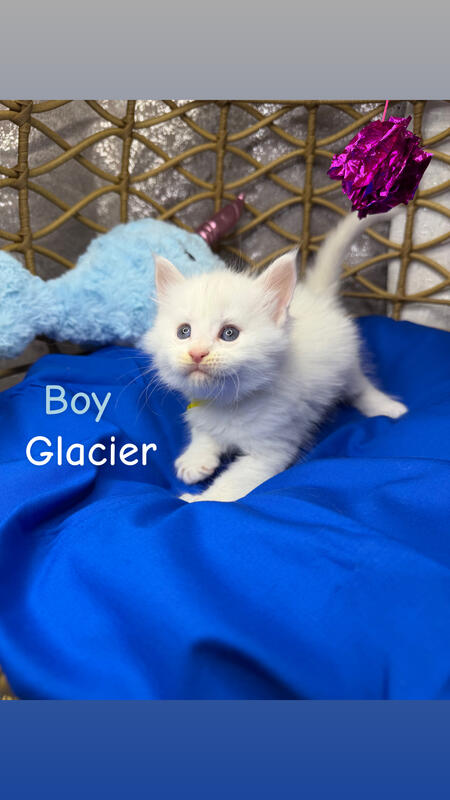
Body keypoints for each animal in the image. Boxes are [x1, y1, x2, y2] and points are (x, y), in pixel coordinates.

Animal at [141, 211, 407, 503]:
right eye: (184, 332)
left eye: (229, 333)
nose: (197, 353)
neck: (227, 402)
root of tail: (317, 296)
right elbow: (202, 432)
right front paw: (195, 459)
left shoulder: (271, 449)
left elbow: (230, 484)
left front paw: (193, 500)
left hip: (345, 364)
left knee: (359, 386)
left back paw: (388, 407)